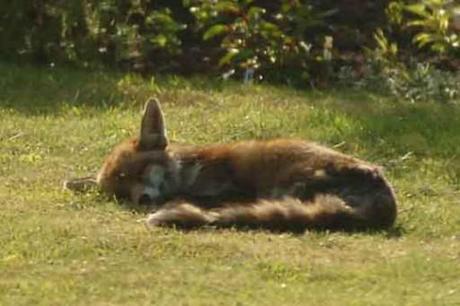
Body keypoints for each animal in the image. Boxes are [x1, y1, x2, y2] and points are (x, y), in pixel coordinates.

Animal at [65, 98, 398, 232]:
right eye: (120, 193)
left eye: (138, 173)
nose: (143, 200)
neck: (190, 169)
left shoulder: (229, 187)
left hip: (290, 182)